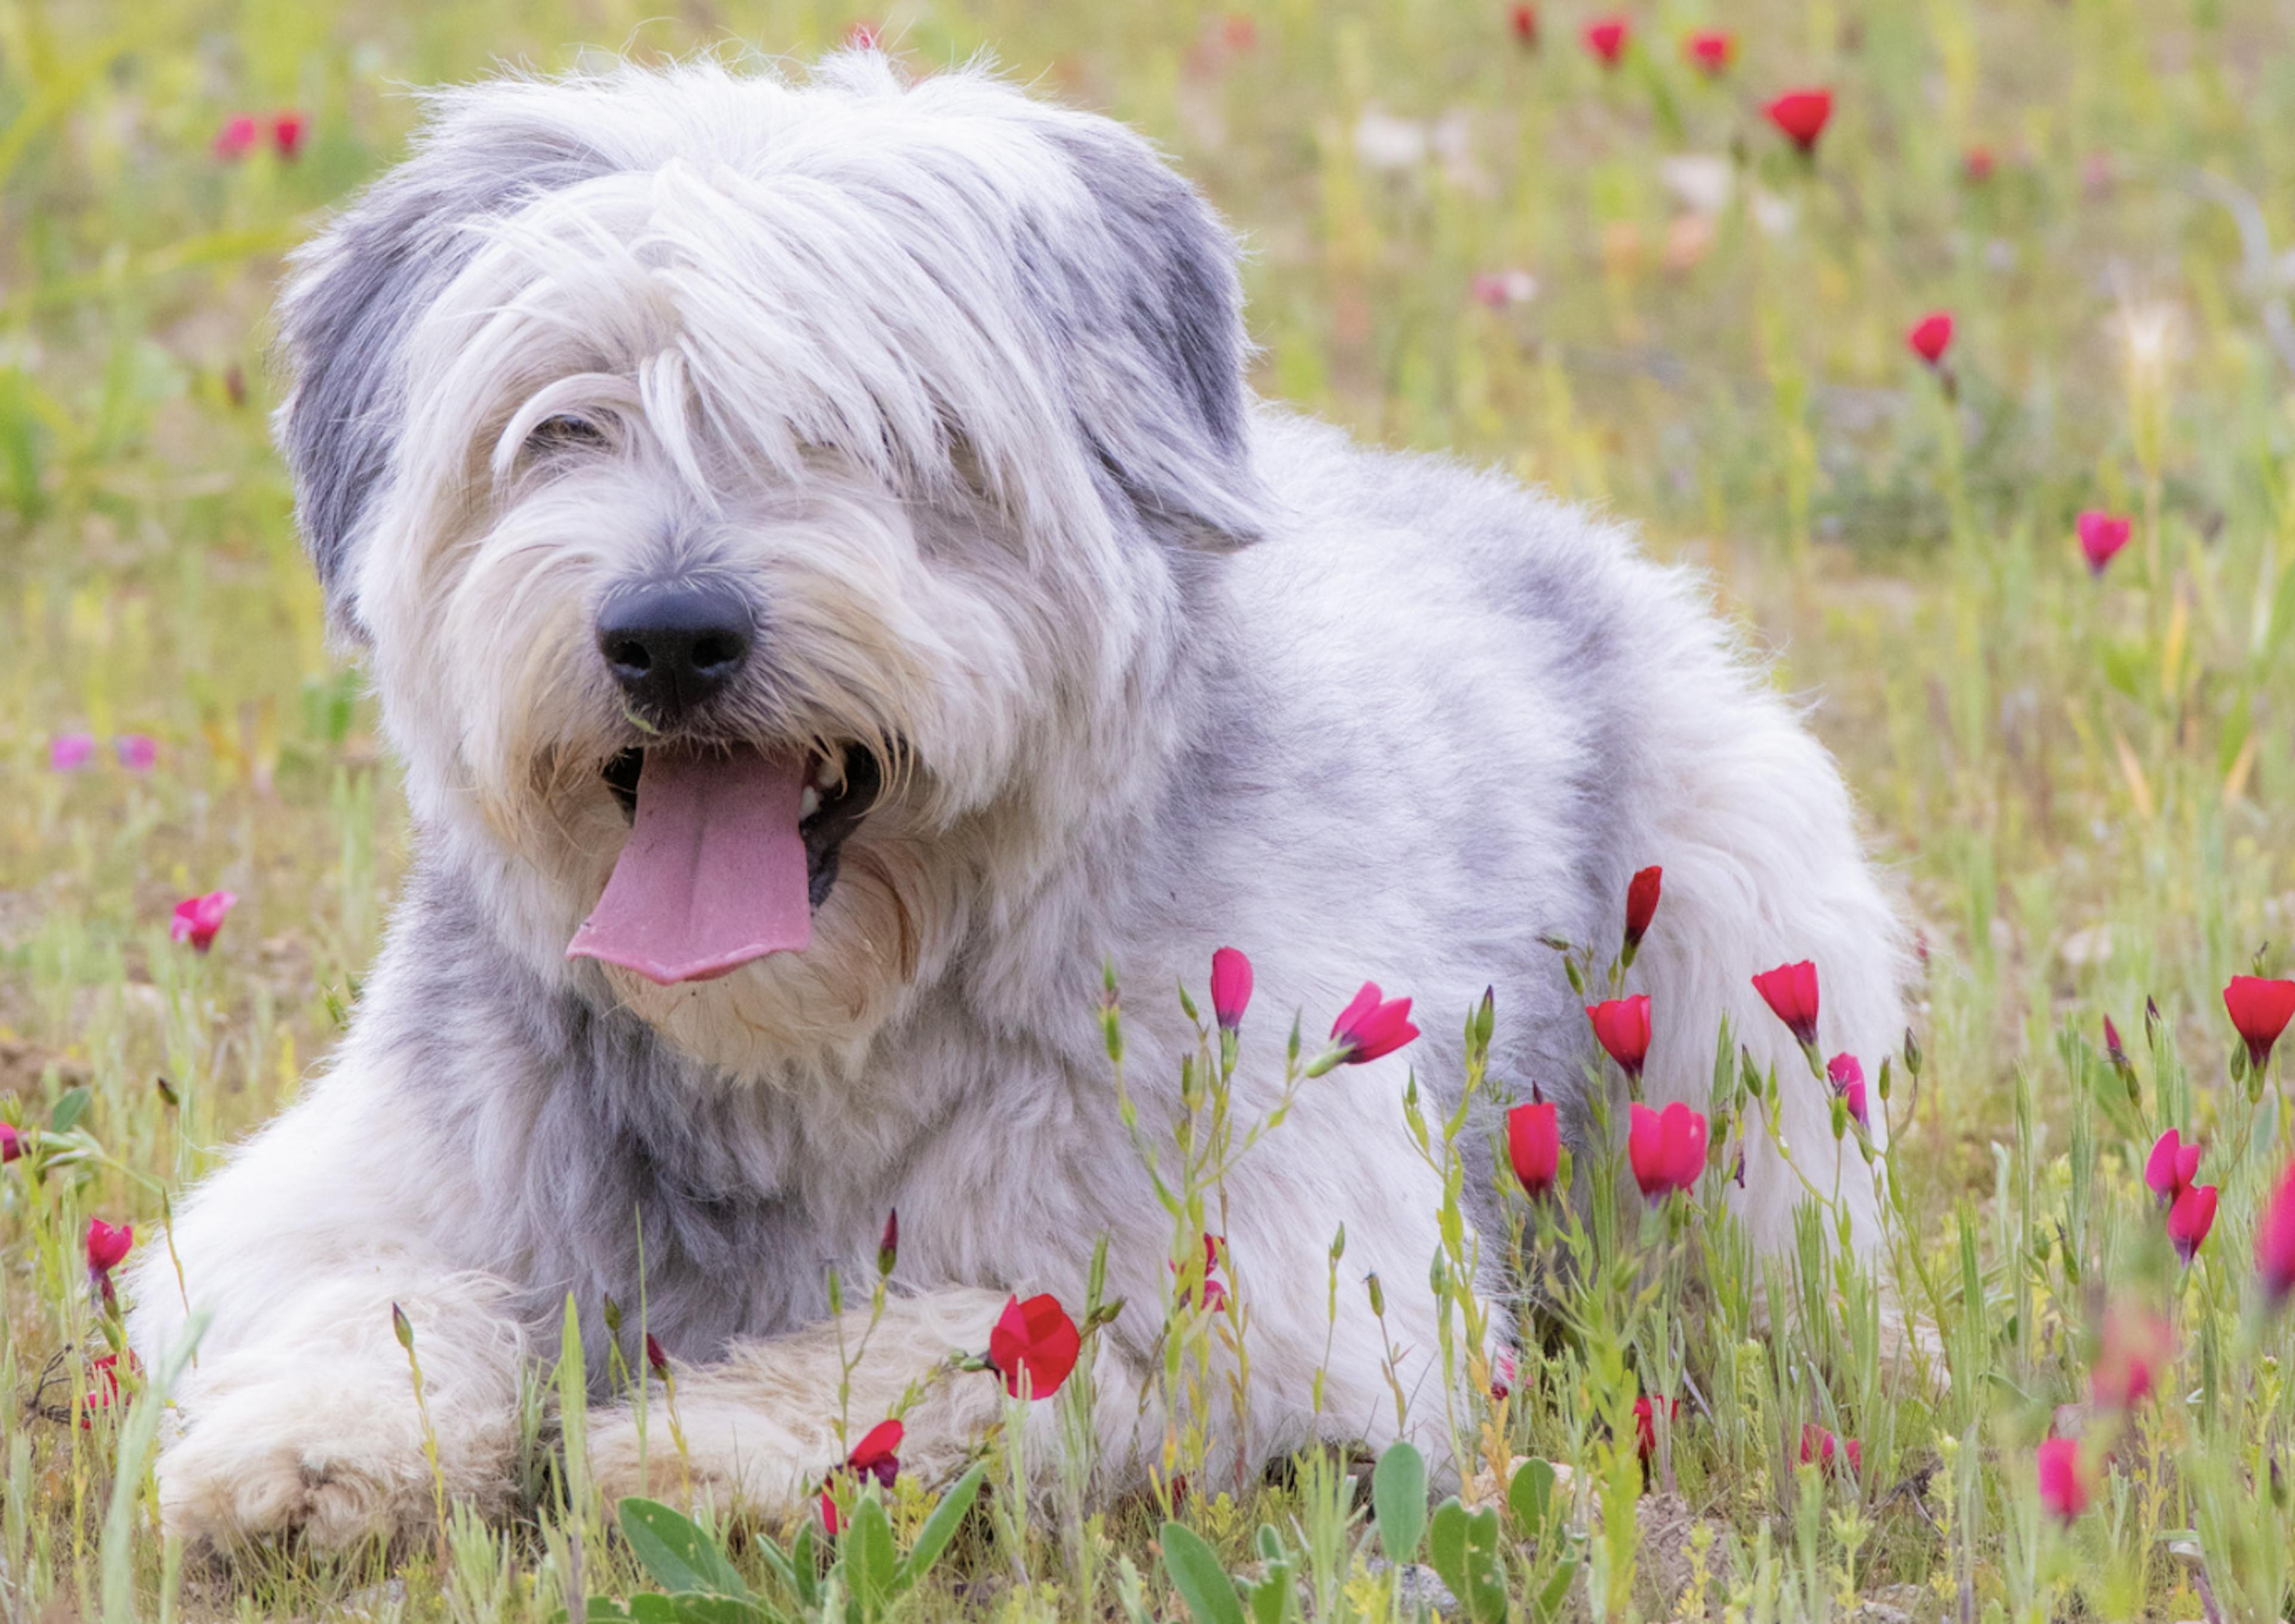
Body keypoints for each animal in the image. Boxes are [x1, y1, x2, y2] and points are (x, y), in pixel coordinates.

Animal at [134, 50, 1909, 1550]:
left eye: (861, 426)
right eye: (565, 419)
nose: (670, 635)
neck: (812, 1035)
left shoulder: (1291, 1298)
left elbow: (955, 1342)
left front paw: (706, 1439)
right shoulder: (330, 1191)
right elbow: (379, 1291)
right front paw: (311, 1445)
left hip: (1741, 960)